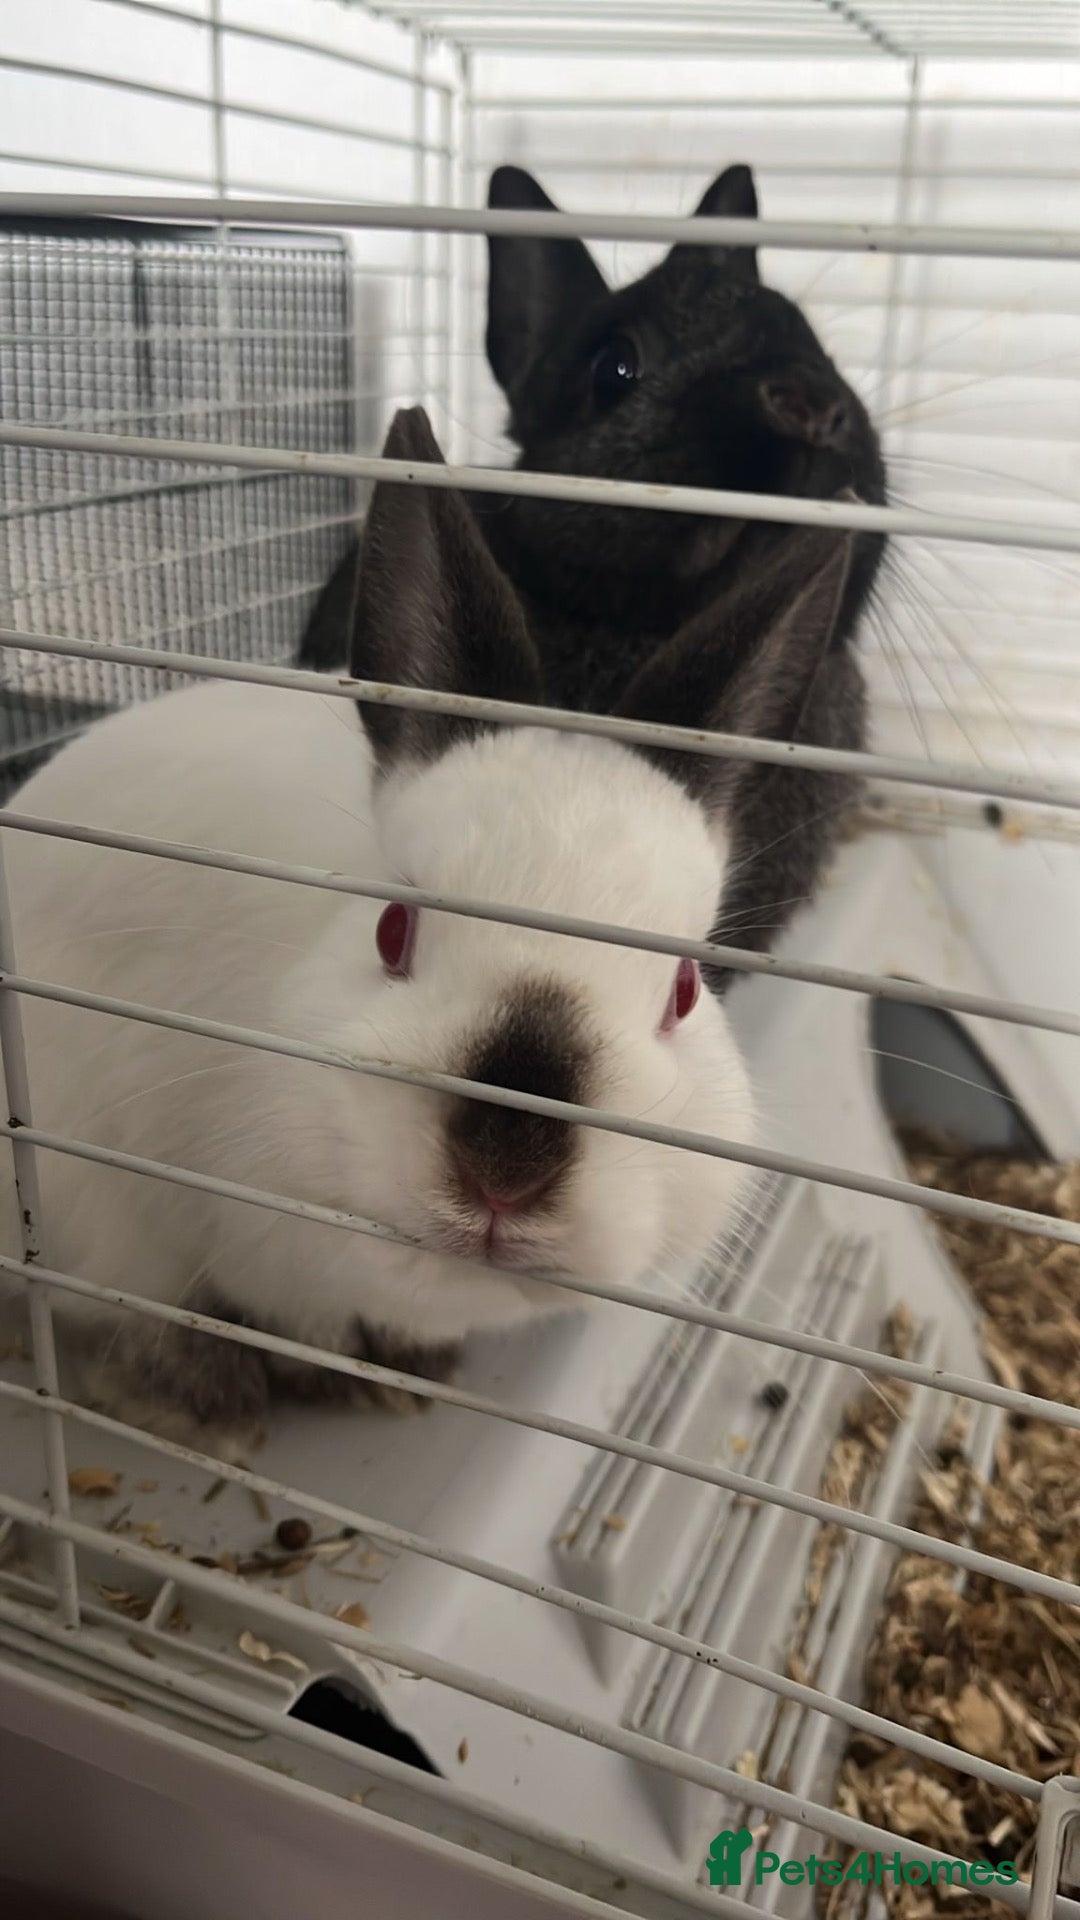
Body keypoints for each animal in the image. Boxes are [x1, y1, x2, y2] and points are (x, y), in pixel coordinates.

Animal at [0, 407, 757, 1460]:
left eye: (685, 990)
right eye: (393, 932)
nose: (506, 1173)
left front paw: (409, 1373)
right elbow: (238, 1313)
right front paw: (296, 1382)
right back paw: (205, 1401)